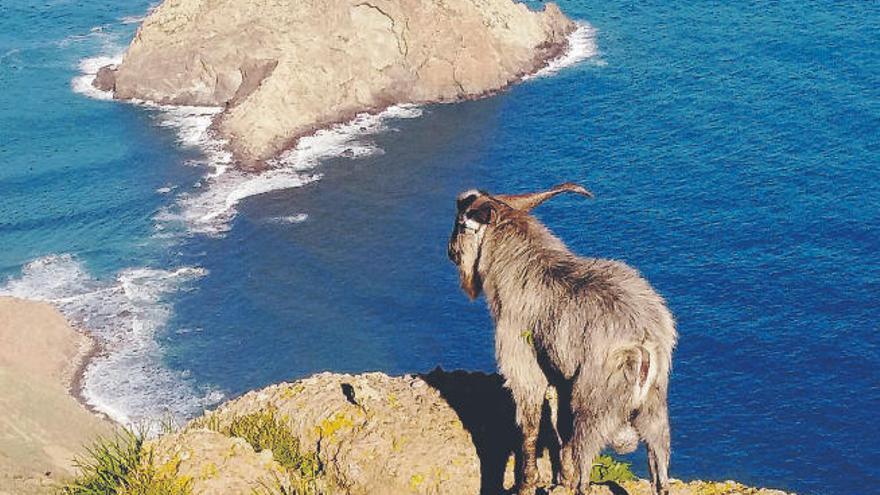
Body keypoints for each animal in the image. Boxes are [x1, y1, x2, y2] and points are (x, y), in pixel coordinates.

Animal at [450, 184, 676, 495]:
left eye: (460, 225)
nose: (450, 252)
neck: (522, 267)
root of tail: (643, 341)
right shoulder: (563, 378)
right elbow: (562, 428)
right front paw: (561, 478)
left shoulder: (524, 365)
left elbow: (530, 428)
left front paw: (528, 482)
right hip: (653, 406)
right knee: (659, 462)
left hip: (595, 404)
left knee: (586, 465)